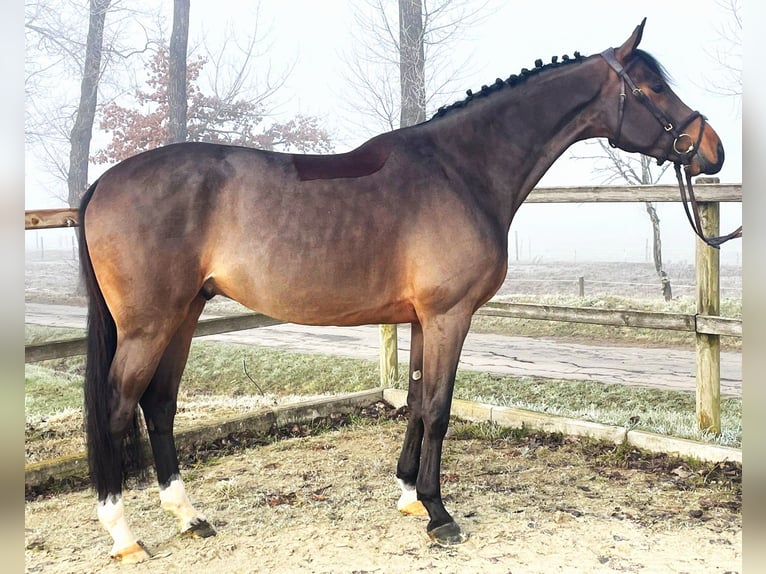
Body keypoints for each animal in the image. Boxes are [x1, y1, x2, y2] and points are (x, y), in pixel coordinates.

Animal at [79, 19, 724, 563]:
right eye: (653, 89)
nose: (712, 149)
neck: (460, 170)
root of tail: (103, 184)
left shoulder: (419, 319)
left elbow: (415, 401)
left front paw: (410, 495)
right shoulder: (449, 316)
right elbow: (438, 409)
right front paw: (440, 515)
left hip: (184, 313)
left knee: (159, 404)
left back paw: (190, 516)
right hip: (149, 324)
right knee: (116, 409)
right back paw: (124, 535)